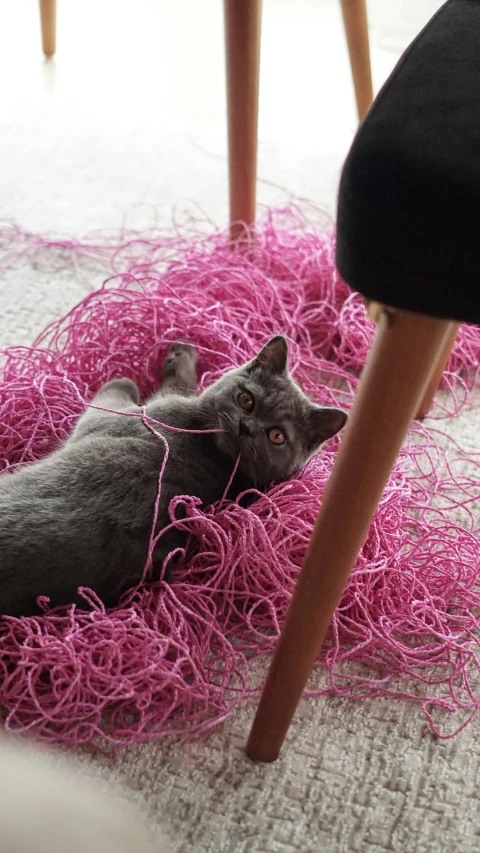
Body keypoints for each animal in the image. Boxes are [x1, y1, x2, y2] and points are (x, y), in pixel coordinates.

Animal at [0, 336, 344, 616]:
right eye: (246, 399)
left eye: (276, 436)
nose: (246, 426)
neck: (214, 452)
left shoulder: (126, 416)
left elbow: (126, 388)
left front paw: (173, 358)